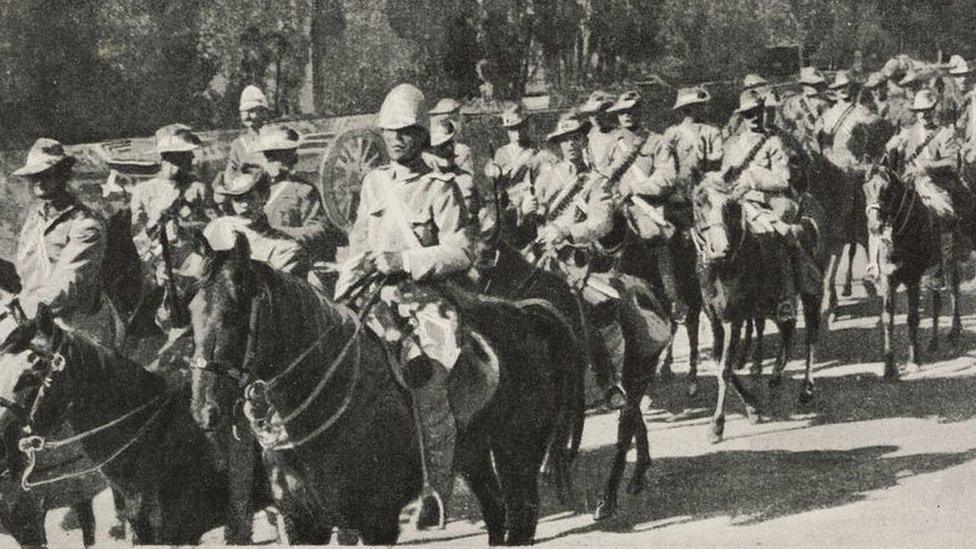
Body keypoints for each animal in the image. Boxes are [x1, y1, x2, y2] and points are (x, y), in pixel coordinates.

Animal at [191, 237, 580, 544]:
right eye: (192, 311)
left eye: (232, 313)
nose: (203, 410)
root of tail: (527, 313)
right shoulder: (303, 523)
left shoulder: (377, 521)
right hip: (475, 456)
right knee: (497, 514)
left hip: (518, 452)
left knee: (521, 518)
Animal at [688, 182, 824, 444]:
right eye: (699, 203)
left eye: (731, 205)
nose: (719, 249)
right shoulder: (714, 318)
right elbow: (718, 362)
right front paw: (752, 407)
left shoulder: (734, 319)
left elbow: (725, 368)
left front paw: (717, 425)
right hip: (769, 303)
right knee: (787, 327)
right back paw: (775, 374)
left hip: (812, 291)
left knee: (812, 335)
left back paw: (807, 388)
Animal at [860, 165, 968, 374]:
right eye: (865, 188)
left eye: (887, 189)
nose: (874, 226)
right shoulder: (888, 281)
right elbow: (887, 318)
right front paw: (889, 366)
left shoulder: (913, 279)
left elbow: (912, 318)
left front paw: (913, 359)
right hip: (934, 269)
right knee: (936, 298)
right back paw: (933, 341)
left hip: (949, 259)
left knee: (953, 288)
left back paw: (954, 331)